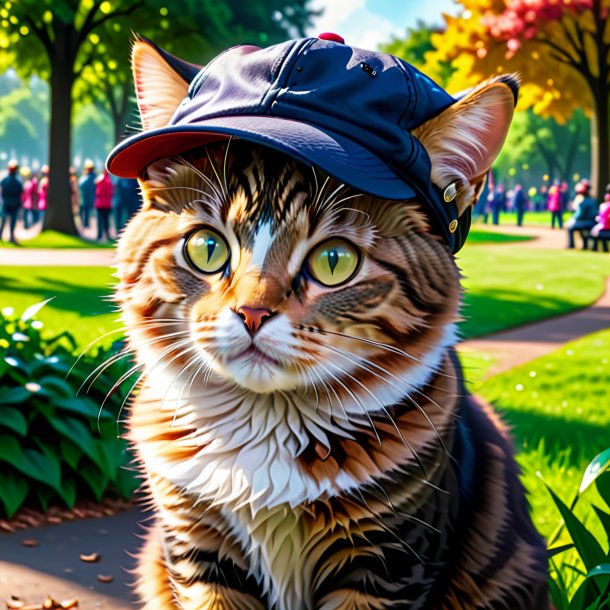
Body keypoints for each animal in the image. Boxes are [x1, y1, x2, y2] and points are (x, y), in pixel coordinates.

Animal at [111, 39, 548, 608]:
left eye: (334, 261)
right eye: (206, 248)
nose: (252, 312)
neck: (266, 432)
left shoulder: (388, 562)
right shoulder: (199, 551)